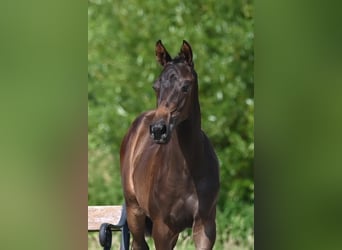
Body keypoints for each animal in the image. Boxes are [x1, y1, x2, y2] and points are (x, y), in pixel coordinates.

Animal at [120, 40, 220, 249]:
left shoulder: (205, 226)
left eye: (185, 86)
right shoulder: (163, 228)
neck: (188, 170)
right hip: (134, 211)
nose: (159, 129)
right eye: (155, 86)